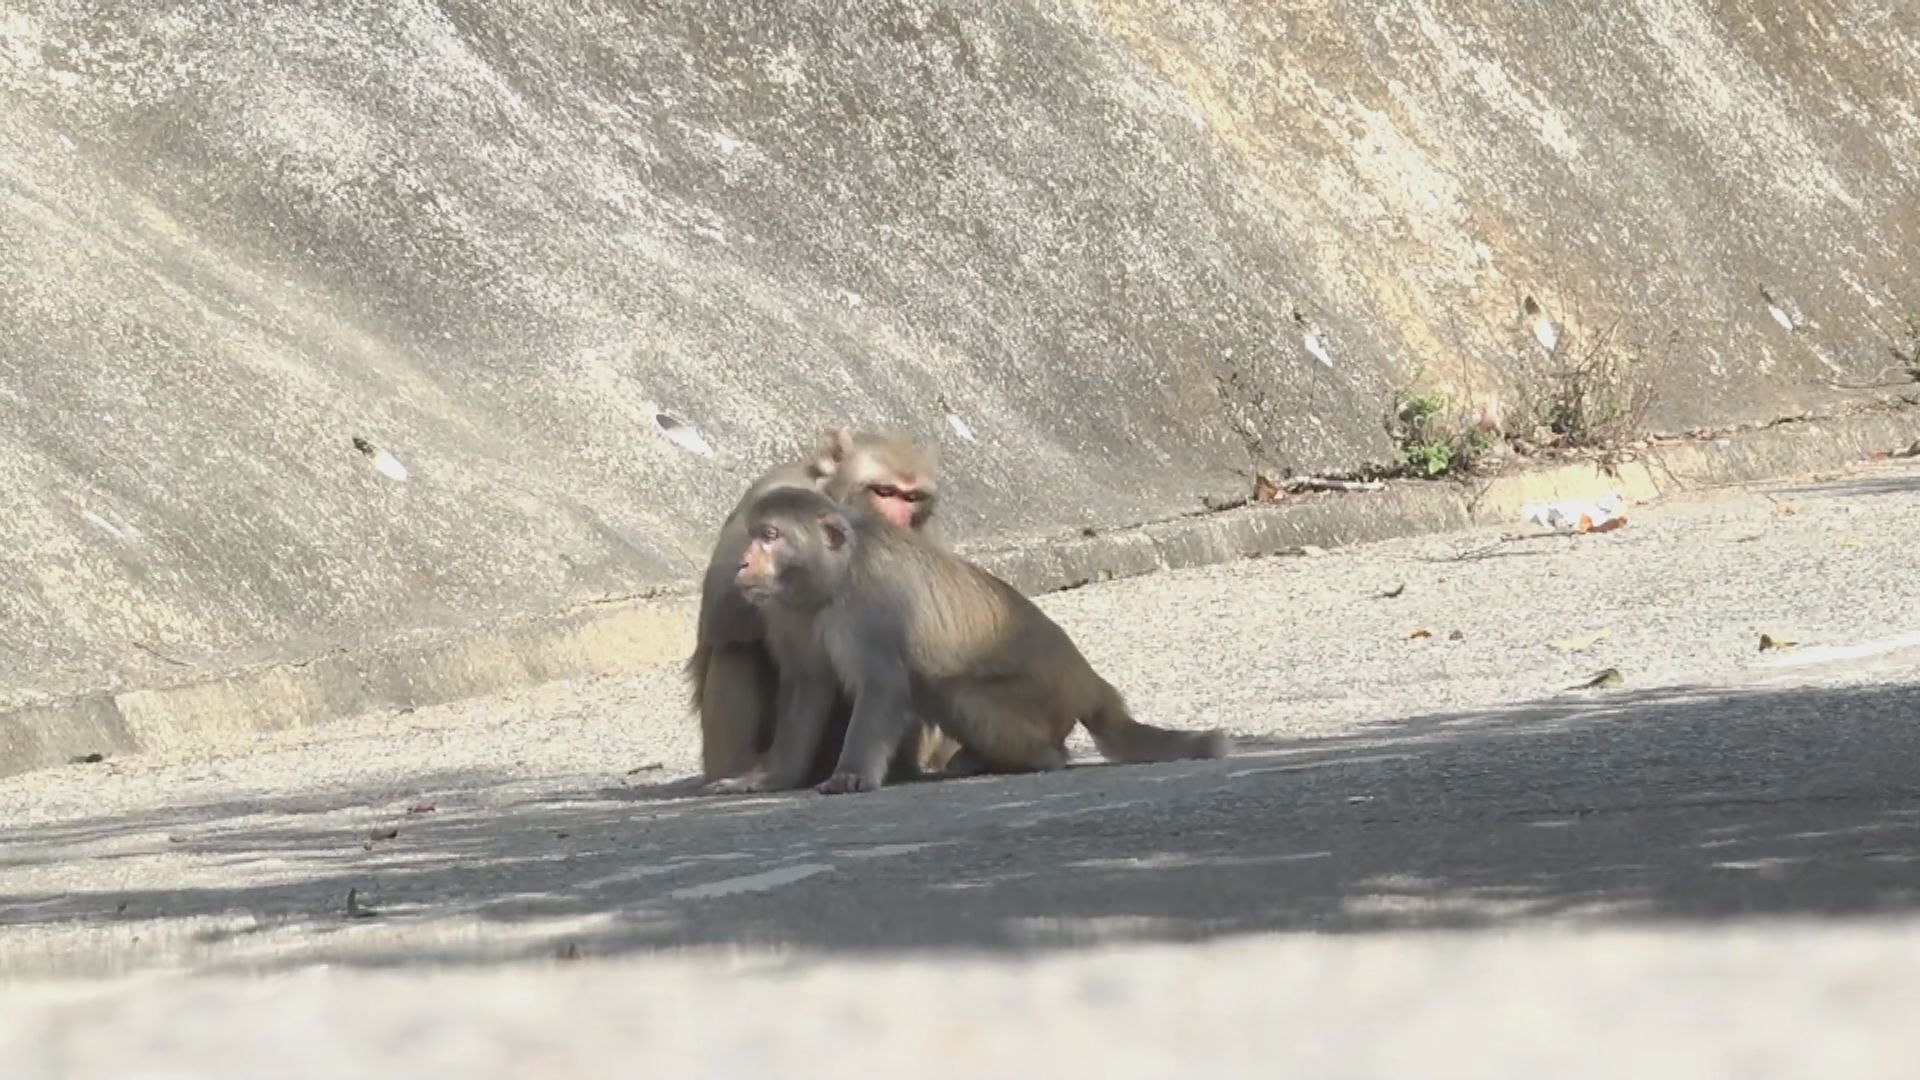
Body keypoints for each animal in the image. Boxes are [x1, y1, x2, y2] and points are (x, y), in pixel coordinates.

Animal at [695, 424, 956, 787]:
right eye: (884, 491)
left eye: (912, 497)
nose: (900, 520)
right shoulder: (769, 496)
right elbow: (718, 610)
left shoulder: (923, 534)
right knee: (737, 647)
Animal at [718, 486, 1228, 791]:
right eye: (753, 535)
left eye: (770, 536)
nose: (742, 562)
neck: (831, 582)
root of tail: (1087, 681)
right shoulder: (787, 613)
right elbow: (807, 687)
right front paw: (769, 778)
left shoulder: (872, 607)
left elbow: (883, 685)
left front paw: (850, 775)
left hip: (1037, 704)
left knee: (948, 689)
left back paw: (1039, 758)